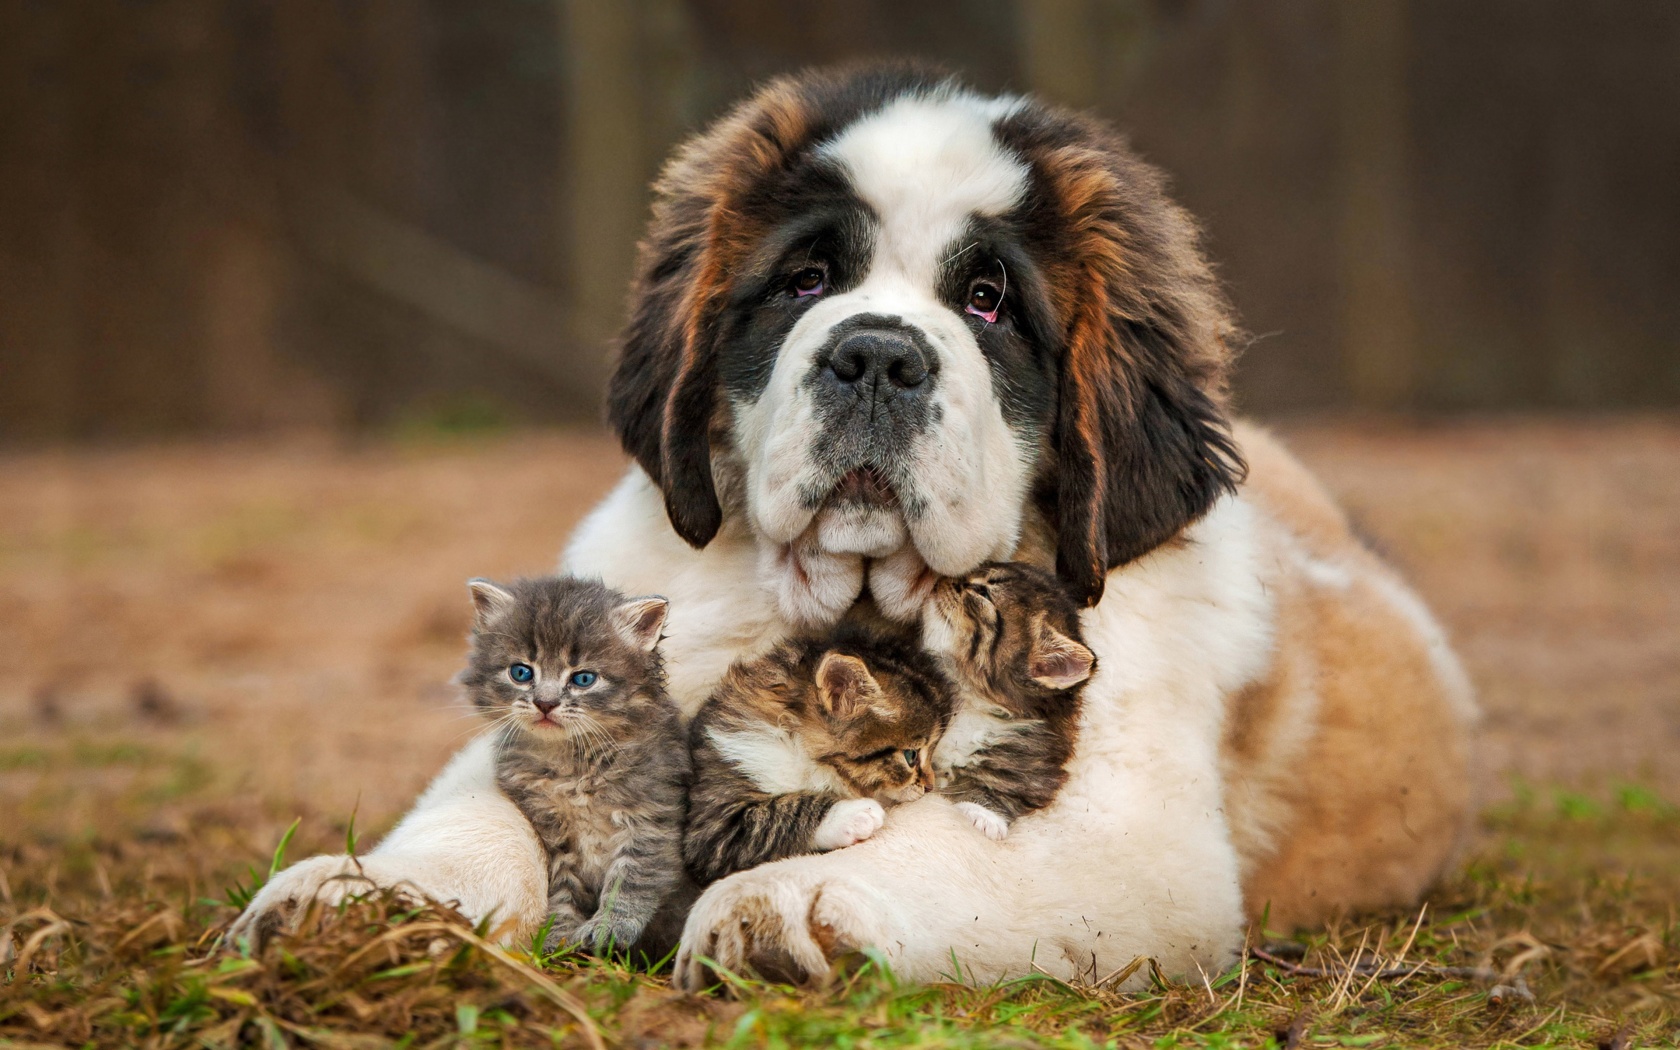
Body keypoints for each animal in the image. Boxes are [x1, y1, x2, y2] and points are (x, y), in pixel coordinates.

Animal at [460, 577, 688, 954]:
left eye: (583, 679)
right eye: (520, 673)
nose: (545, 703)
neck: (572, 763)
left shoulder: (650, 818)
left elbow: (632, 878)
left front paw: (610, 926)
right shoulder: (553, 833)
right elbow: (562, 888)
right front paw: (559, 934)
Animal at [678, 621, 947, 887]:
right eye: (911, 756)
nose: (930, 786)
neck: (798, 750)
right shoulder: (714, 827)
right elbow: (781, 813)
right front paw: (852, 815)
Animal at [927, 561, 1095, 840]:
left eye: (983, 592)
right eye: (979, 570)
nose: (942, 579)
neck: (971, 701)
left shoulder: (1034, 766)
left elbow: (1003, 788)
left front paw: (984, 815)